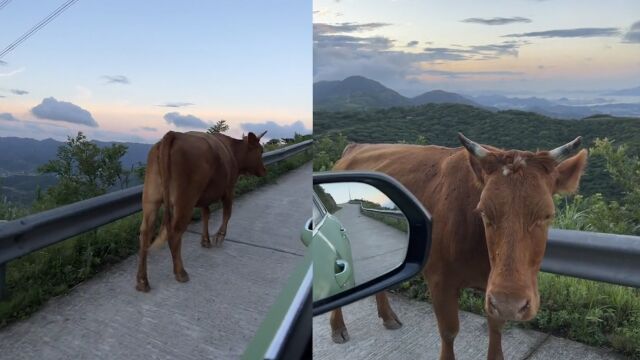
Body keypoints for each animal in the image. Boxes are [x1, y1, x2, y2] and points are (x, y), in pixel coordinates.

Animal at [136, 130, 266, 292]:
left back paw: (142, 281)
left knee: (145, 233)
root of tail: (174, 134)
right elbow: (227, 213)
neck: (233, 151)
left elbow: (206, 214)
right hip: (185, 200)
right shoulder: (229, 189)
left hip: (151, 197)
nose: (265, 171)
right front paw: (219, 237)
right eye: (261, 151)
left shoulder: (205, 196)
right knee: (175, 233)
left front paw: (205, 240)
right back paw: (180, 273)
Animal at [330, 134, 584, 358]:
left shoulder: (493, 291)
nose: (510, 304)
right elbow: (449, 331)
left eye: (548, 215)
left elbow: (496, 329)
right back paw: (337, 328)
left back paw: (387, 316)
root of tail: (353, 148)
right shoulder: (439, 280)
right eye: (483, 211)